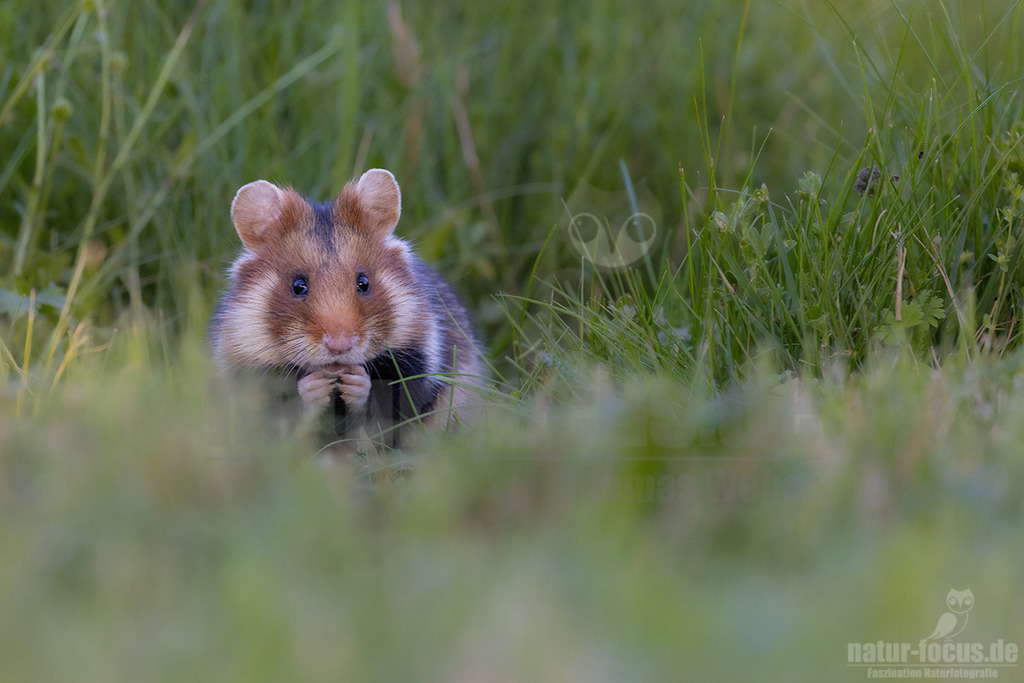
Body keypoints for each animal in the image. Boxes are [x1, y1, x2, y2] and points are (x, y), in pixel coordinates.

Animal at [210, 168, 483, 446]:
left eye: (363, 282)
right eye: (298, 286)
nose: (339, 346)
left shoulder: (417, 360)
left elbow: (391, 402)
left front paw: (356, 382)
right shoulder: (248, 372)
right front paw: (315, 386)